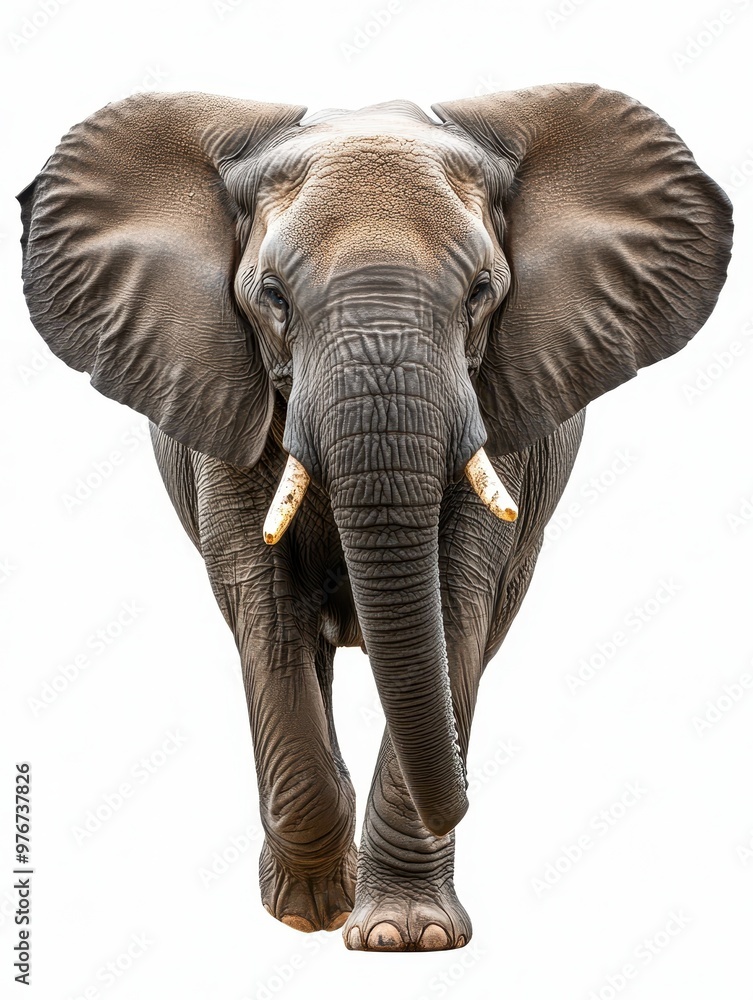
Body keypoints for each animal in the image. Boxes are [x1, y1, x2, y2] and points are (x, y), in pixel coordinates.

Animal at [18, 84, 732, 952]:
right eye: (272, 297)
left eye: (481, 293)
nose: (463, 801)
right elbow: (264, 607)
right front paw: (309, 913)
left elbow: (456, 606)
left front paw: (404, 937)